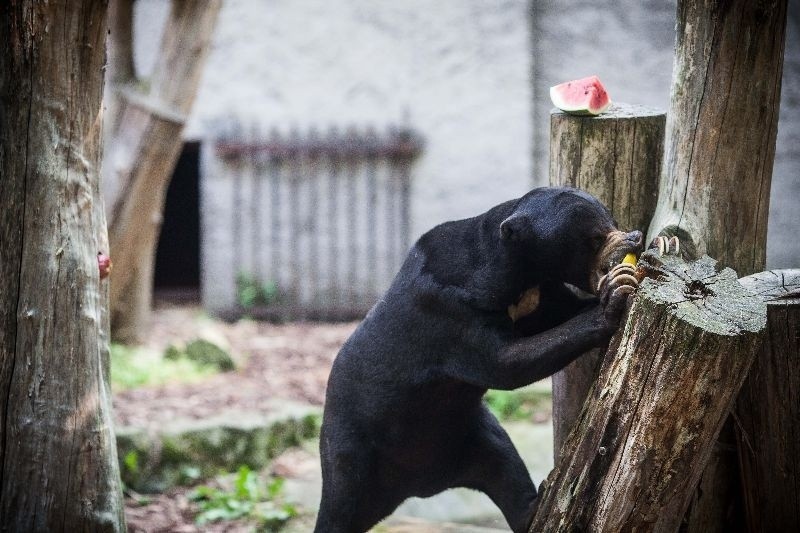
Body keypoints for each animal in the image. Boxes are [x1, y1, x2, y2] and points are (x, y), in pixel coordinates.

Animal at [316, 185, 640, 528]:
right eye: (594, 238)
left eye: (612, 221)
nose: (635, 237)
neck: (515, 276)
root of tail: (419, 488)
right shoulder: (448, 312)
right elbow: (504, 363)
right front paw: (614, 295)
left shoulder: (540, 295)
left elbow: (563, 313)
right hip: (350, 453)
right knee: (339, 508)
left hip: (474, 435)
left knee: (504, 465)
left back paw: (533, 507)